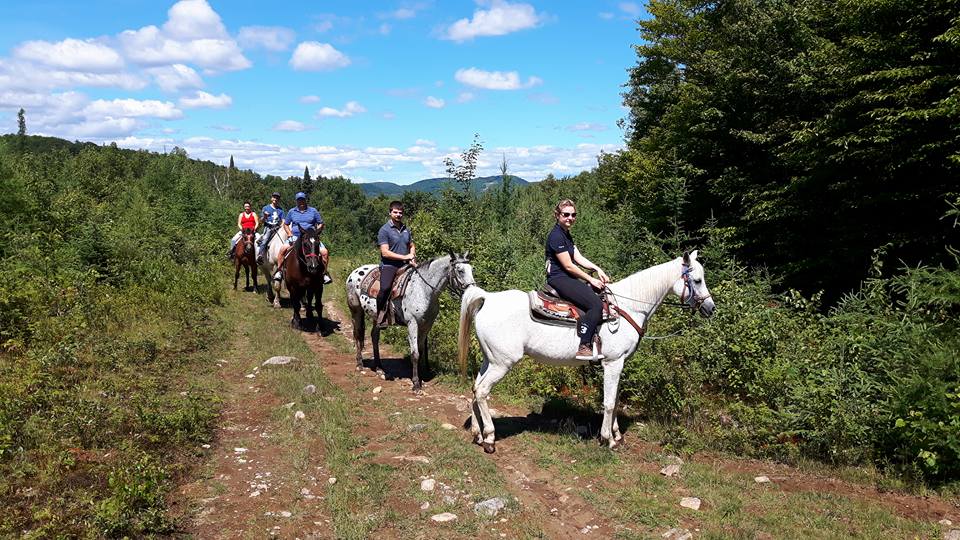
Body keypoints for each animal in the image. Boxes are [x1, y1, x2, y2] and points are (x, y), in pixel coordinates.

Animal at [348, 253, 476, 392]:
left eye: (472, 269)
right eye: (460, 270)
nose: (473, 290)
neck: (423, 289)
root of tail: (355, 272)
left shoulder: (426, 325)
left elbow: (421, 350)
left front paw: (422, 376)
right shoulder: (412, 323)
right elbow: (415, 353)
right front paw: (415, 384)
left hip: (377, 317)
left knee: (374, 336)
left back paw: (379, 367)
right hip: (356, 311)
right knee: (357, 334)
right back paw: (359, 364)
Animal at [456, 251, 712, 454]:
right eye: (697, 280)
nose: (710, 308)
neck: (629, 307)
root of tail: (489, 298)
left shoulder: (620, 364)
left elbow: (615, 400)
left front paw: (617, 435)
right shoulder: (613, 363)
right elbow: (609, 402)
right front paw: (608, 440)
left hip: (490, 360)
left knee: (475, 388)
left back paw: (478, 434)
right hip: (502, 363)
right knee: (482, 391)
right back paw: (489, 438)